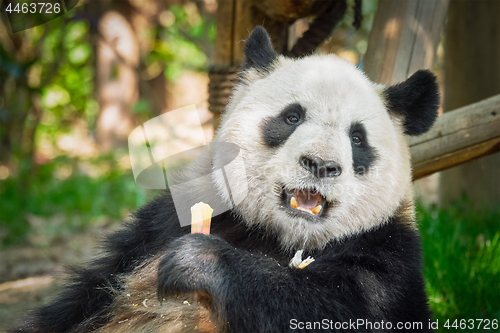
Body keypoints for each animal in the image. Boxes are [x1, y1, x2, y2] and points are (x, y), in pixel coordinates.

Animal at [11, 26, 440, 332]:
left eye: (357, 138)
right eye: (292, 117)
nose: (320, 164)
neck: (281, 237)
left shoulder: (387, 256)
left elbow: (337, 308)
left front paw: (200, 261)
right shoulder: (159, 227)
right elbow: (81, 300)